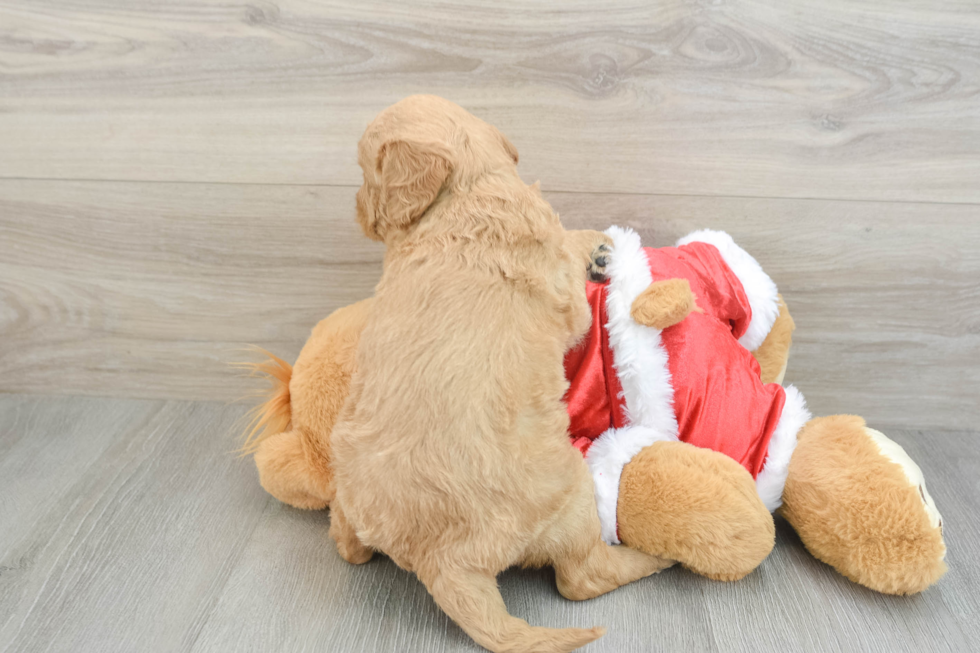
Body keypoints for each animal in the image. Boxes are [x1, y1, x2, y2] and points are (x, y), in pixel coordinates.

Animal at [332, 97, 672, 652]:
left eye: (366, 174)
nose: (357, 212)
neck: (470, 189)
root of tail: (440, 562)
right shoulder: (569, 299)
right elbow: (571, 266)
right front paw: (595, 245)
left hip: (346, 488)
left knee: (348, 547)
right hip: (570, 493)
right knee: (583, 577)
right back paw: (652, 558)